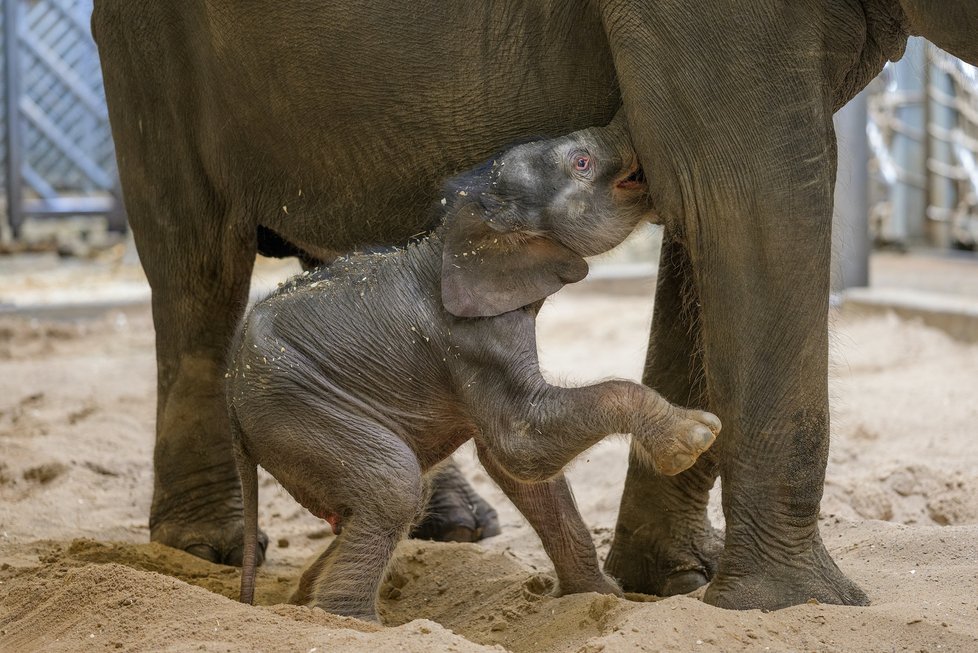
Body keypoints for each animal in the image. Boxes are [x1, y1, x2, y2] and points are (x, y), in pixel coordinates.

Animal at [227, 113, 716, 620]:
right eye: (581, 162)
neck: (462, 227)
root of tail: (232, 407)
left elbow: (513, 466)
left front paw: (602, 598)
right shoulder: (470, 339)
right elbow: (521, 442)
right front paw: (697, 435)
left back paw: (303, 601)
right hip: (296, 410)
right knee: (394, 485)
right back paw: (352, 621)